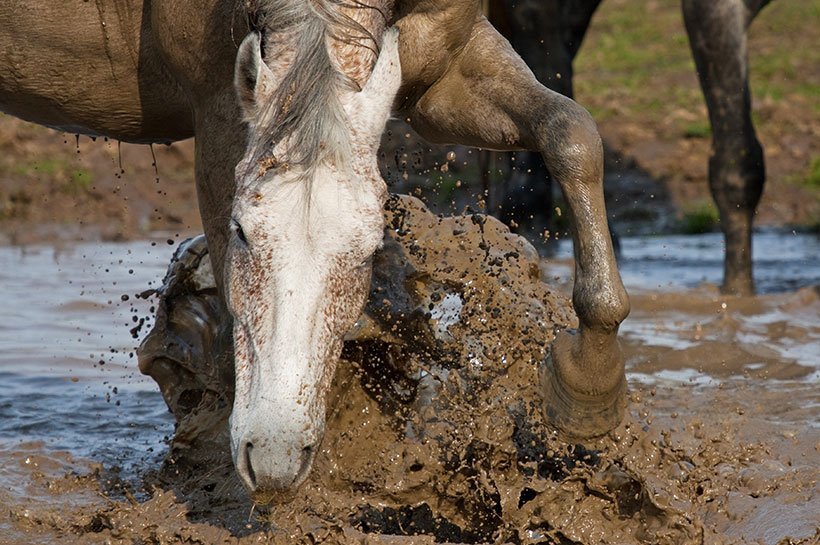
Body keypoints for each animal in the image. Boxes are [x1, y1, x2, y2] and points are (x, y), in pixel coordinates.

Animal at [0, 0, 628, 500]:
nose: (274, 456)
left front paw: (586, 392)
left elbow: (571, 133)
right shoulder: (218, 109)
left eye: (370, 243)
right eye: (241, 230)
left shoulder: (445, 66)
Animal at [490, 0, 772, 296]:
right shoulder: (710, 9)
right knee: (542, 55)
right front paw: (738, 290)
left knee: (558, 55)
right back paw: (528, 217)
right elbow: (737, 161)